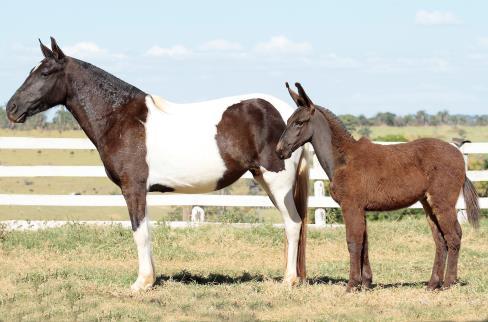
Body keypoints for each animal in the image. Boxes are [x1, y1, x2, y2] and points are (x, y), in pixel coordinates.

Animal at [6, 38, 308, 292]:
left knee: (293, 223)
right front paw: (150, 278)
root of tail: (288, 114)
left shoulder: (133, 188)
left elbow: (140, 233)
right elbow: (146, 232)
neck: (121, 118)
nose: (11, 108)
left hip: (277, 182)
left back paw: (289, 280)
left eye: (45, 73)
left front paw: (142, 283)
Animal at [274, 82, 480, 292]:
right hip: (428, 204)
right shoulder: (360, 208)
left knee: (453, 236)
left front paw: (352, 284)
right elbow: (364, 243)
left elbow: (353, 242)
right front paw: (365, 283)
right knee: (440, 239)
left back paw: (448, 283)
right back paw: (433, 284)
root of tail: (458, 154)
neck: (344, 159)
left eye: (300, 122)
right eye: (288, 120)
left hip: (443, 203)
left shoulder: (351, 206)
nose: (279, 151)